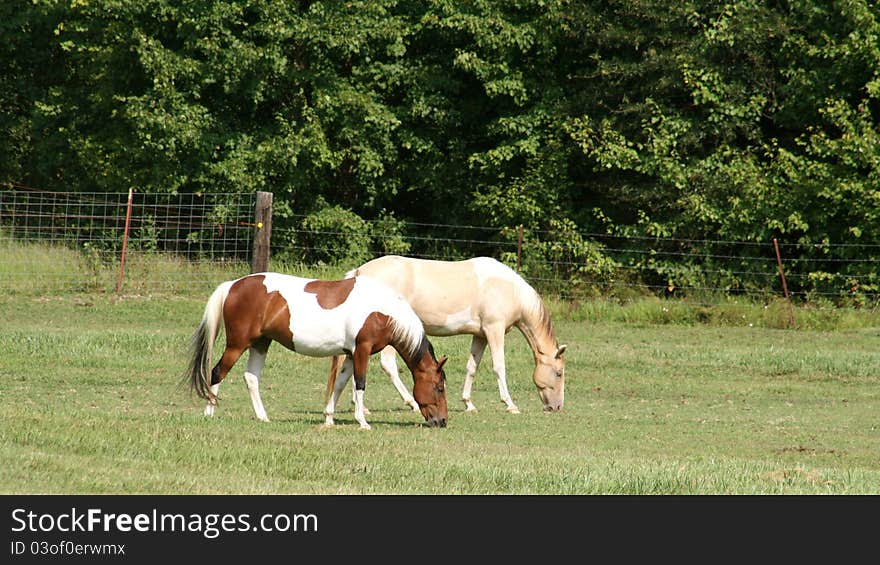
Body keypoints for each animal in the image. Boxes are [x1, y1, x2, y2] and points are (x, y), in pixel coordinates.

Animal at [186, 270, 446, 426]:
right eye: (439, 387)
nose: (442, 421)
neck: (381, 310)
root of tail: (232, 285)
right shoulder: (362, 350)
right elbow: (360, 384)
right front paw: (362, 422)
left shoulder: (350, 354)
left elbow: (340, 385)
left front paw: (329, 418)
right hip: (237, 344)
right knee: (218, 372)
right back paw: (209, 412)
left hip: (260, 344)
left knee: (251, 378)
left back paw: (263, 417)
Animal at [326, 254, 568, 410]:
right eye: (558, 373)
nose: (556, 407)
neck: (508, 289)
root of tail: (360, 272)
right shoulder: (494, 330)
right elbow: (499, 367)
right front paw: (510, 404)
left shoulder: (480, 335)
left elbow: (472, 367)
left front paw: (469, 403)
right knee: (388, 366)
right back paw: (411, 402)